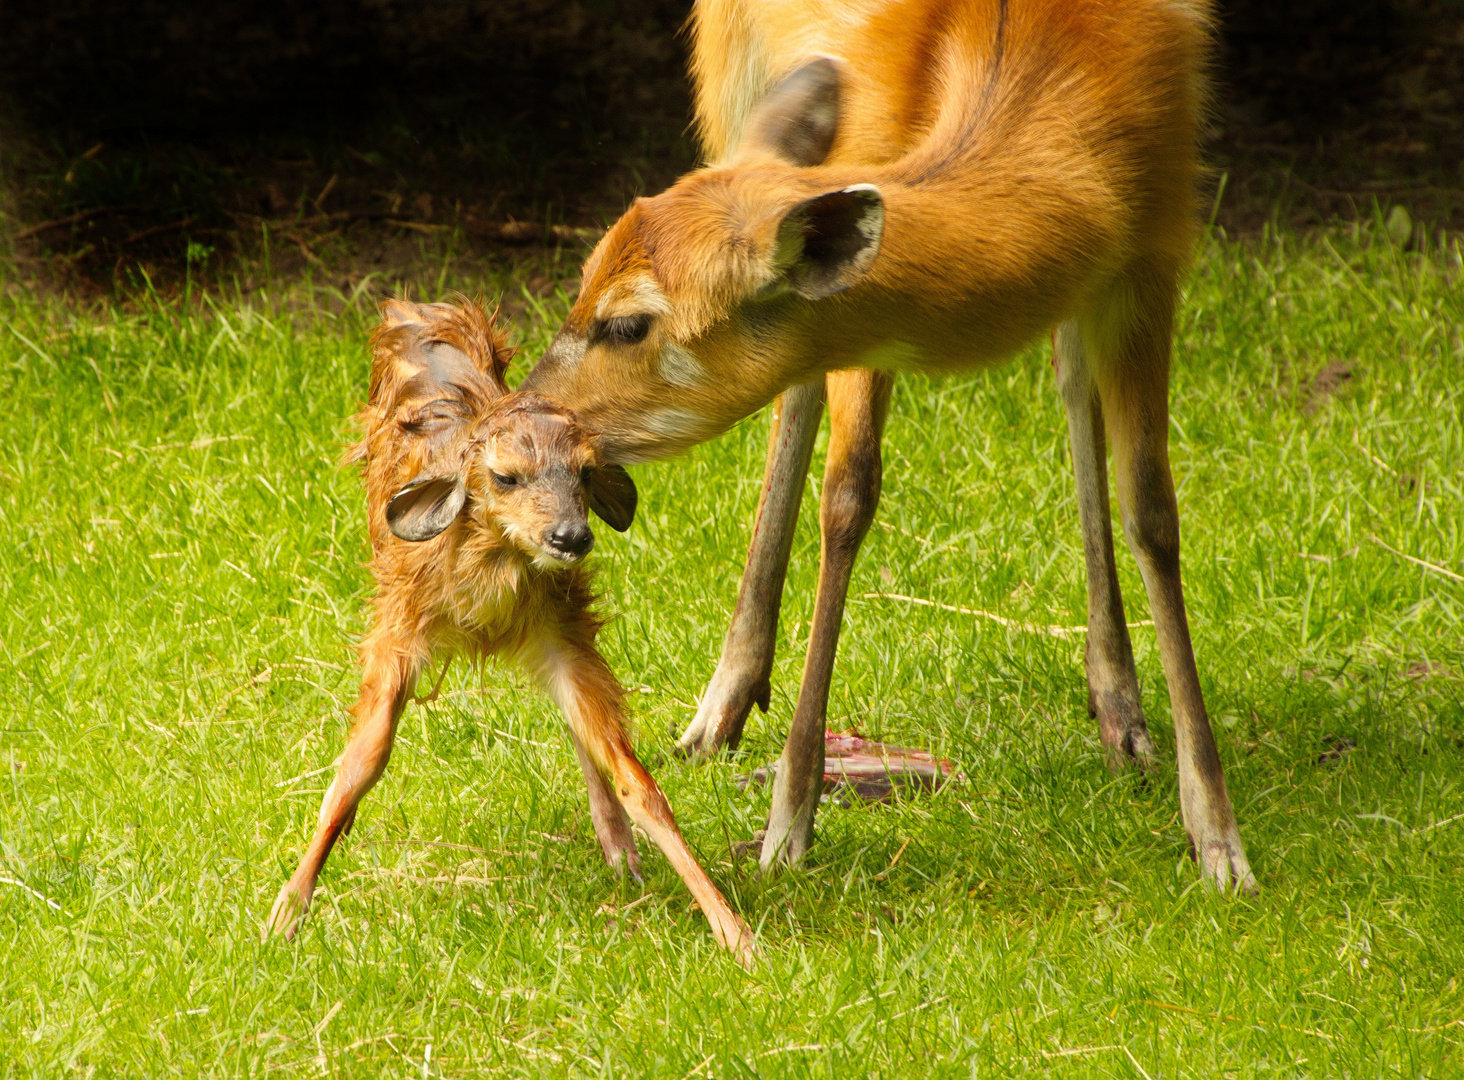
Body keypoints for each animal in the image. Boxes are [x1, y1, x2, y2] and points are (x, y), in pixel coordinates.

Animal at [264, 297, 761, 960]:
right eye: (505, 477)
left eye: (584, 473)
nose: (570, 536)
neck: (488, 585)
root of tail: (416, 307)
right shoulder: (399, 623)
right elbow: (359, 764)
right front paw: (285, 911)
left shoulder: (559, 628)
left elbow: (636, 779)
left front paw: (735, 933)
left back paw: (619, 849)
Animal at [527, 0, 1259, 889]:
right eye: (580, 283)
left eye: (627, 321)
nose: (523, 406)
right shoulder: (861, 214)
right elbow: (848, 495)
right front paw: (788, 826)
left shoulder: (1159, 235)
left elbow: (1153, 511)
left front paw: (1217, 837)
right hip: (731, 89)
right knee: (804, 404)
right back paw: (719, 709)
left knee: (1064, 374)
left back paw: (1117, 704)